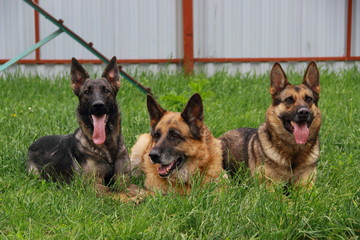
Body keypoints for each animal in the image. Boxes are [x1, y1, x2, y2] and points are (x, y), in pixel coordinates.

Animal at [27, 56, 131, 193]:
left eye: (106, 90)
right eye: (87, 92)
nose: (98, 105)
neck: (107, 148)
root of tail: (33, 144)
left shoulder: (123, 180)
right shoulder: (92, 185)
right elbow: (116, 192)